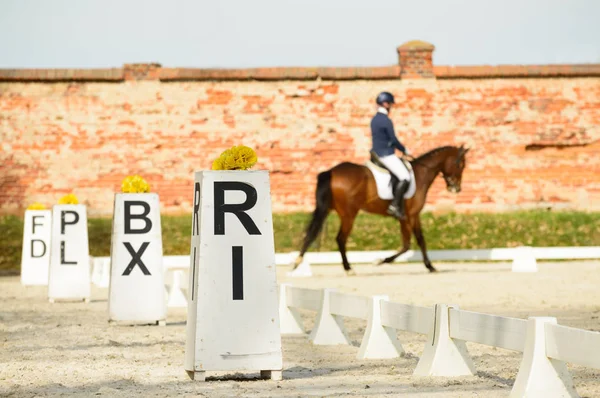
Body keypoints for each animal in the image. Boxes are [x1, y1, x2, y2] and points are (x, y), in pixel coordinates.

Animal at [292, 145, 472, 276]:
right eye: (460, 164)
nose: (456, 188)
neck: (421, 173)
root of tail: (331, 171)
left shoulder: (408, 217)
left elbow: (413, 242)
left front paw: (428, 266)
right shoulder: (411, 215)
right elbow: (413, 242)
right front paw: (382, 260)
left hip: (328, 209)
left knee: (312, 233)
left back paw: (297, 262)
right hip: (349, 214)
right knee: (340, 239)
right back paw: (348, 269)